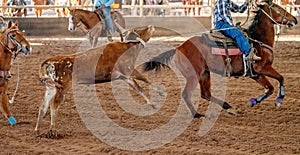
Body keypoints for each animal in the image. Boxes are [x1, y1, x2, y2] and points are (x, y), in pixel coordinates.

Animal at [144, 1, 298, 117]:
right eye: (278, 8)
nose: (295, 19)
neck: (258, 40)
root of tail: (179, 48)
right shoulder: (262, 68)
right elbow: (281, 78)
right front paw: (279, 101)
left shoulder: (255, 74)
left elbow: (270, 88)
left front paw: (253, 101)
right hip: (193, 76)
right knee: (186, 94)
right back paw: (197, 114)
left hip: (205, 73)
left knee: (206, 94)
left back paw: (229, 108)